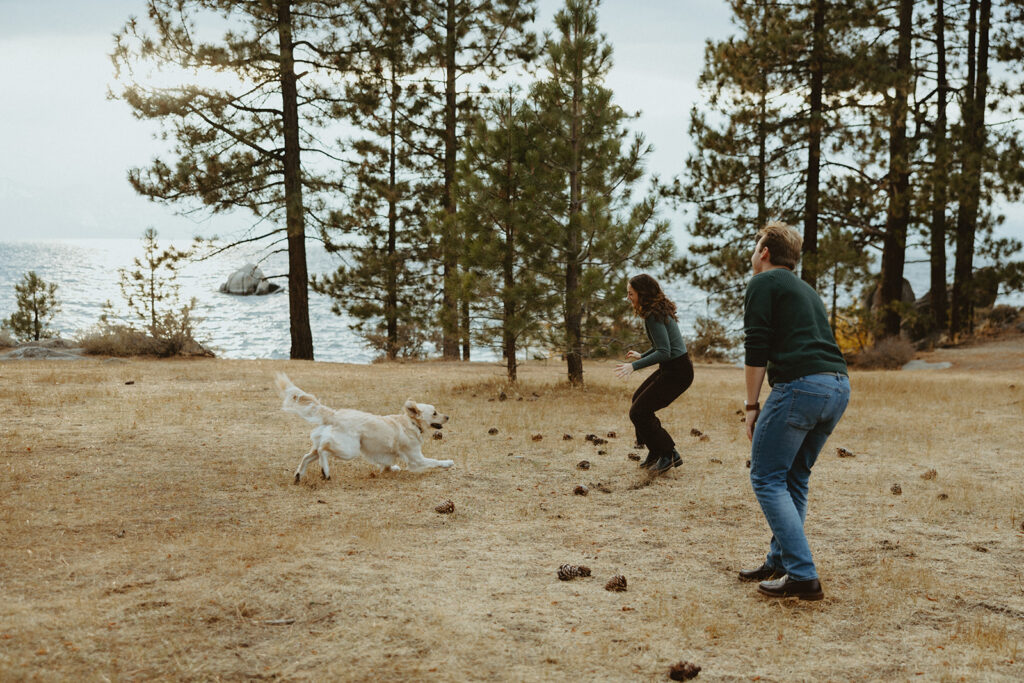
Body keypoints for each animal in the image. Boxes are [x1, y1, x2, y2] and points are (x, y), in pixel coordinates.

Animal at [274, 374, 450, 481]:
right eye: (435, 413)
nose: (448, 416)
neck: (411, 423)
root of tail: (334, 414)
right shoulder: (416, 459)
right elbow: (434, 461)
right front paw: (448, 463)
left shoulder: (386, 456)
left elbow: (387, 466)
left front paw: (393, 469)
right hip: (349, 449)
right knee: (324, 450)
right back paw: (326, 472)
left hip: (322, 444)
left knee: (308, 455)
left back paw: (299, 475)